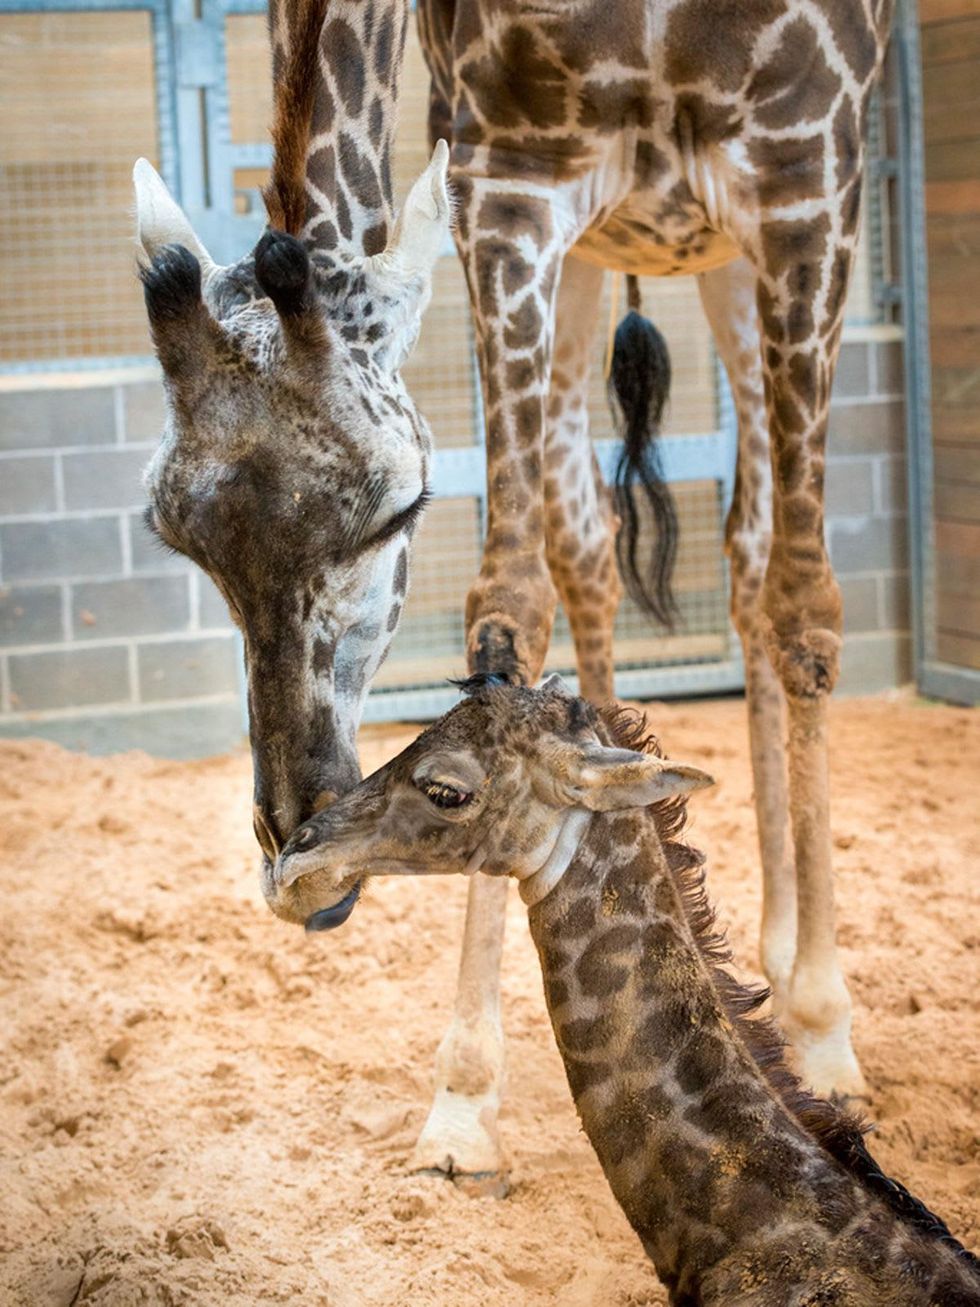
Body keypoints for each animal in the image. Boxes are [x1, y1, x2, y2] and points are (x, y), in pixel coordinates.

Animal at [369, 0, 897, 1185]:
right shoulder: (509, 184)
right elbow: (508, 608)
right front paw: (460, 1101)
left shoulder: (805, 171)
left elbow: (806, 607)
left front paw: (823, 1035)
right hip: (591, 262)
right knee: (587, 546)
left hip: (738, 262)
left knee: (755, 558)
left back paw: (788, 958)